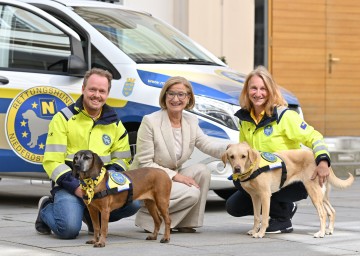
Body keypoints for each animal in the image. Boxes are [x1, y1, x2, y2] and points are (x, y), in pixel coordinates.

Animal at [222, 143, 354, 239]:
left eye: (243, 156)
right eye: (232, 156)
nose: (237, 169)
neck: (253, 167)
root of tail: (321, 161)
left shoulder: (265, 195)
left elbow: (264, 218)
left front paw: (260, 233)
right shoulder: (255, 197)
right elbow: (256, 217)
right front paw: (254, 230)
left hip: (313, 193)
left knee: (323, 214)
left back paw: (320, 233)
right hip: (322, 195)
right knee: (332, 211)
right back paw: (329, 230)